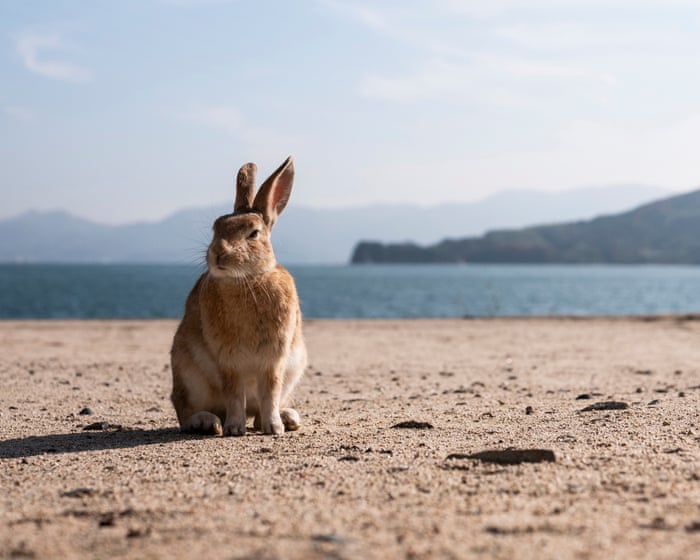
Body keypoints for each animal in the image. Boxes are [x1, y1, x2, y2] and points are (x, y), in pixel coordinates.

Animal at [170, 156, 307, 436]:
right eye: (215, 228)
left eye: (253, 233)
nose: (217, 253)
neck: (248, 279)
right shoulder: (229, 361)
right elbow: (234, 394)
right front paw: (234, 428)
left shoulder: (274, 359)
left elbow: (271, 393)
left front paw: (274, 428)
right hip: (188, 375)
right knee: (185, 410)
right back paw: (207, 422)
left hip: (294, 368)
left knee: (261, 409)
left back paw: (286, 418)